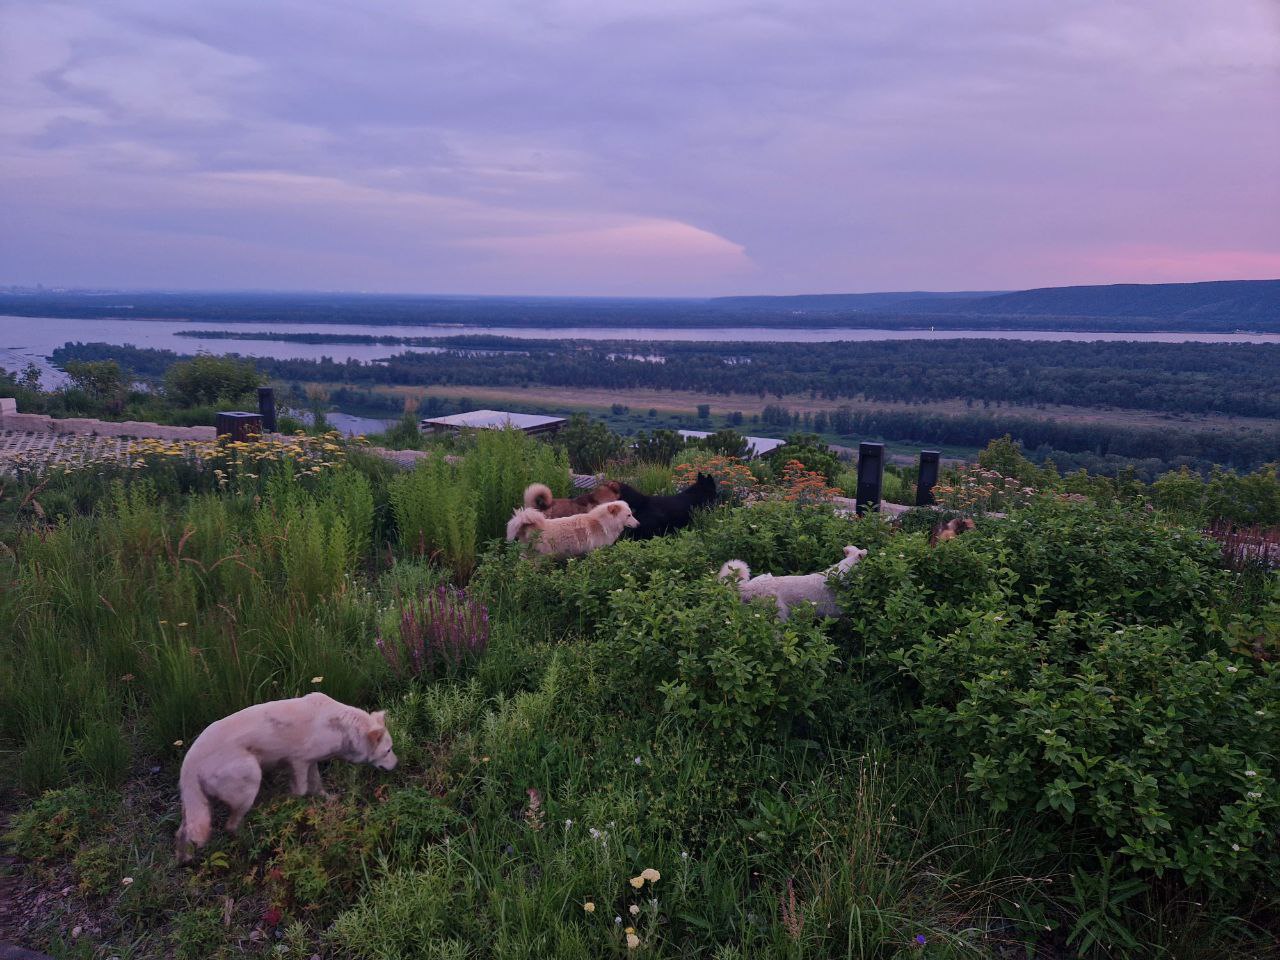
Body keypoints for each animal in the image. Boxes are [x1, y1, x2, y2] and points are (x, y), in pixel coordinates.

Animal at [175, 691, 394, 865]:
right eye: (388, 750)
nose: (397, 766)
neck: (341, 727)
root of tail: (189, 764)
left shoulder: (311, 762)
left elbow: (317, 785)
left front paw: (328, 800)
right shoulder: (298, 761)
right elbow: (302, 790)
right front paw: (293, 806)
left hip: (195, 807)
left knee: (183, 833)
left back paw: (185, 859)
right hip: (251, 776)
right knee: (231, 825)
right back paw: (254, 839)